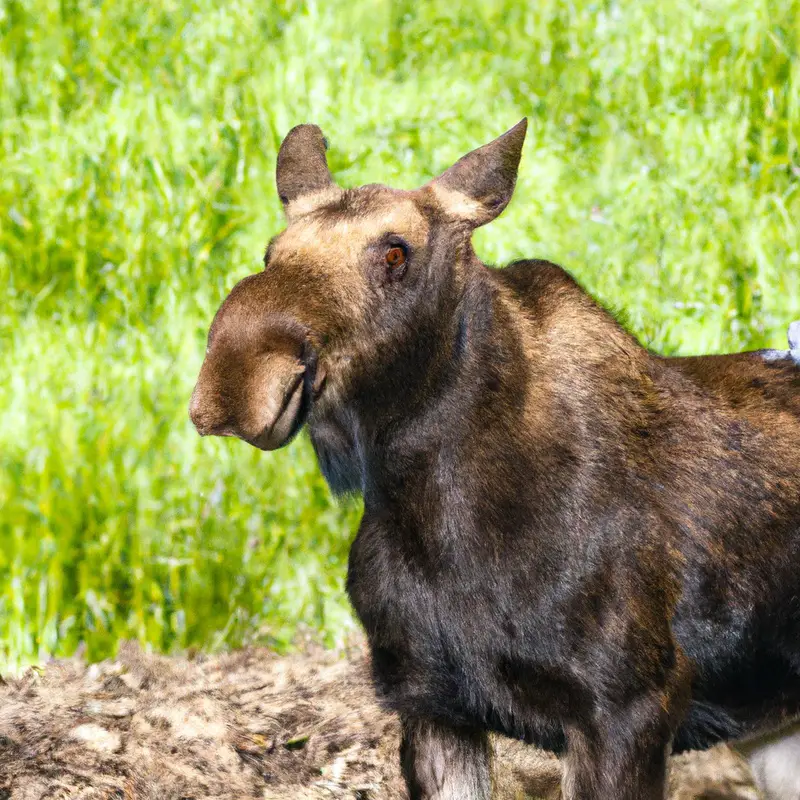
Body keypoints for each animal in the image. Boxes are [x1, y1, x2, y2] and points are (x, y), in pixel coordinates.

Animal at [192, 120, 800, 800]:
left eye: (396, 252)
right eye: (271, 253)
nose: (235, 381)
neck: (433, 514)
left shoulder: (629, 708)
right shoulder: (430, 704)